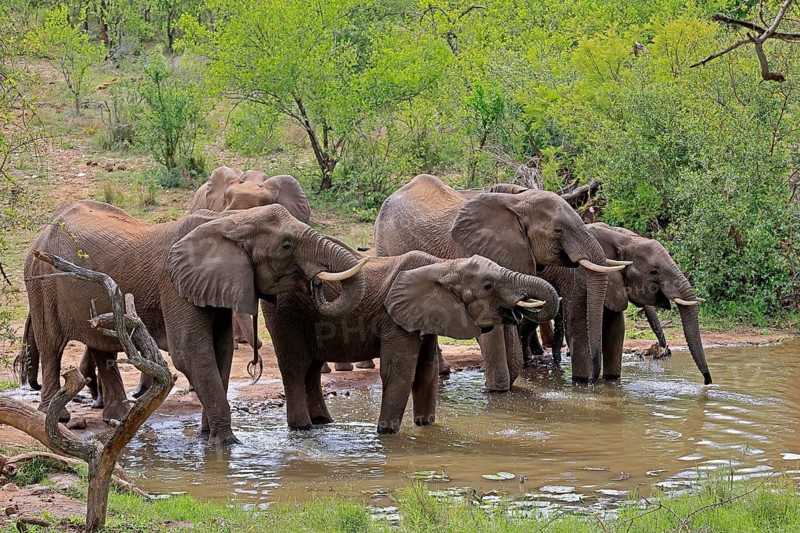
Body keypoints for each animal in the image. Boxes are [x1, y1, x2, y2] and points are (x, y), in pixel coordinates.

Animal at [21, 200, 366, 445]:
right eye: (286, 246)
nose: (316, 283)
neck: (228, 220)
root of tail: (42, 233)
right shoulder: (174, 284)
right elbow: (190, 353)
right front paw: (227, 443)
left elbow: (220, 351)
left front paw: (206, 436)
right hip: (40, 279)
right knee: (52, 345)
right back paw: (58, 416)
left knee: (101, 346)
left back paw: (119, 417)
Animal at [263, 251, 560, 433]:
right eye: (488, 286)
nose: (518, 308)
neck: (445, 265)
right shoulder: (394, 318)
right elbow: (400, 372)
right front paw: (386, 432)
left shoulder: (425, 316)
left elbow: (426, 370)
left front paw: (425, 426)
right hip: (285, 314)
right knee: (295, 367)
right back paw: (303, 427)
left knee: (311, 370)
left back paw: (323, 422)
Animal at [374, 174, 624, 391]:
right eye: (558, 230)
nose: (591, 381)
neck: (516, 203)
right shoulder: (473, 256)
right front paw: (497, 390)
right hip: (385, 247)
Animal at [550, 223, 712, 384]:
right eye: (654, 272)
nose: (707, 381)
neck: (623, 239)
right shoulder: (578, 279)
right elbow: (579, 329)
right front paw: (583, 381)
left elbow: (616, 331)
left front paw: (611, 380)